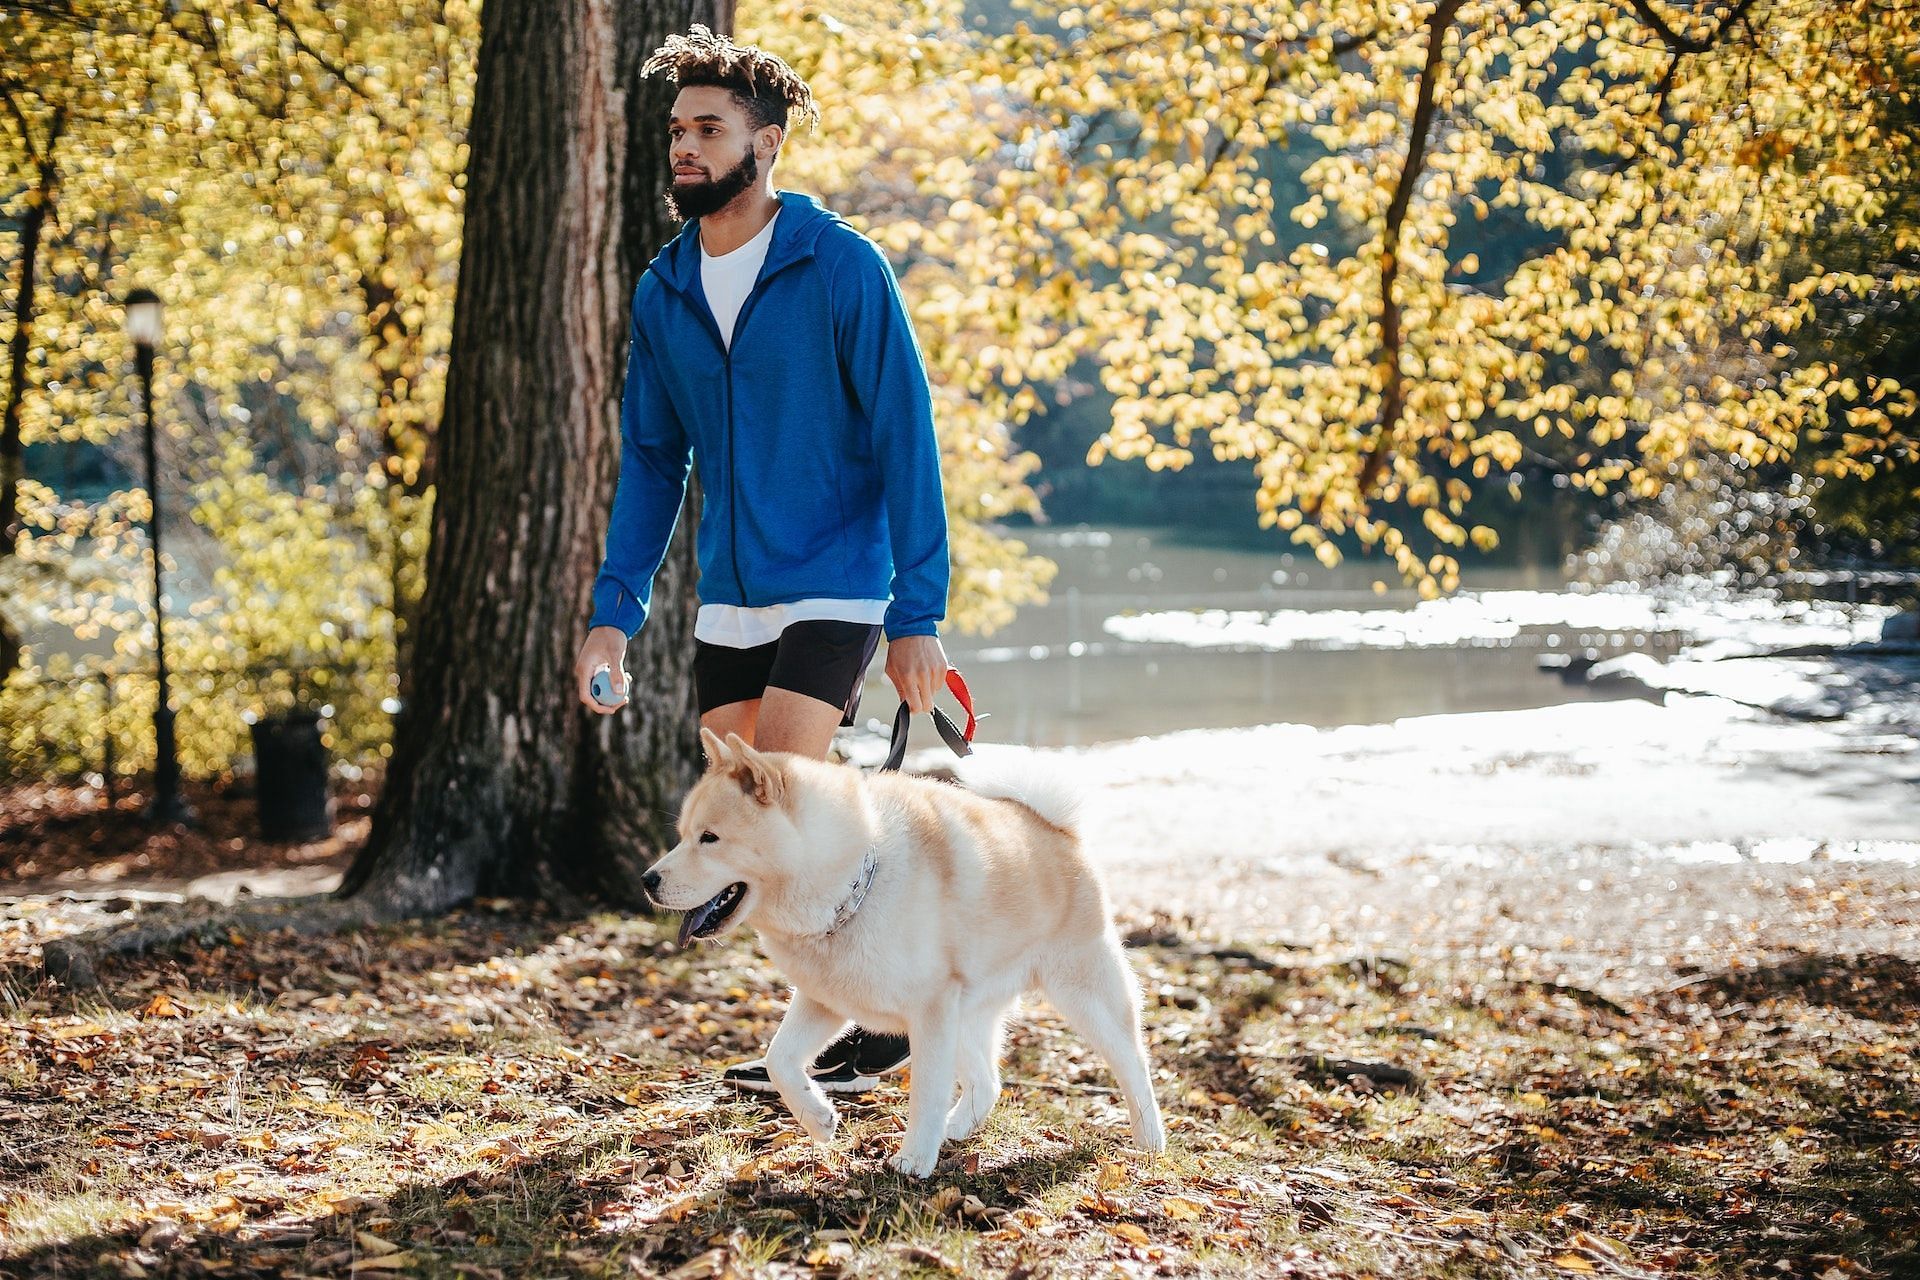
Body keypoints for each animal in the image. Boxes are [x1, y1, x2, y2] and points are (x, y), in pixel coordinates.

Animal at [645, 729, 1159, 1182]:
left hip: (1085, 996)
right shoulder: (826, 1000)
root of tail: (1053, 828)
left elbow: (925, 1093)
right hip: (967, 1014)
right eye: (683, 834)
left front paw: (914, 1160)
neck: (853, 885)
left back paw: (1150, 1141)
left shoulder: (929, 1011)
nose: (647, 880)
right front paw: (818, 1119)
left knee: (1134, 1066)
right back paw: (957, 1128)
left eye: (709, 838)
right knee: (988, 1082)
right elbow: (779, 1060)